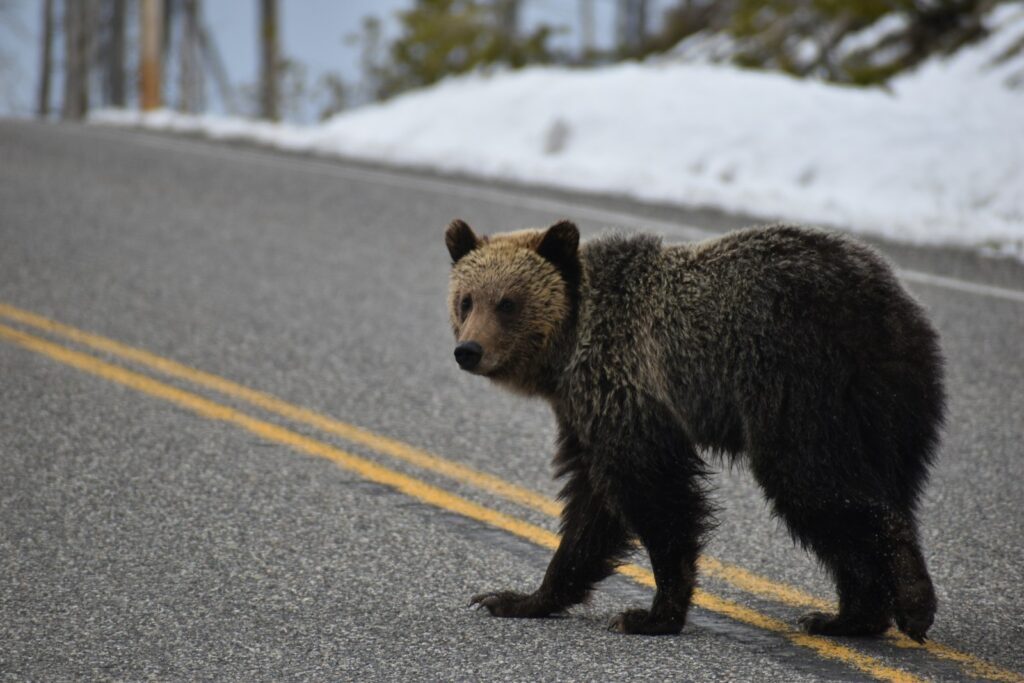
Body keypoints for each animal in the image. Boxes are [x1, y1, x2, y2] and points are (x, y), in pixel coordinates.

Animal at [445, 218, 944, 642]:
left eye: (508, 303)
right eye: (466, 300)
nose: (468, 350)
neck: (568, 347)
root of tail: (889, 302)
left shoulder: (625, 383)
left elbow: (655, 495)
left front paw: (649, 614)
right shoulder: (585, 413)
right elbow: (592, 508)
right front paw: (515, 598)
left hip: (801, 382)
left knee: (813, 481)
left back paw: (912, 603)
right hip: (889, 411)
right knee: (869, 490)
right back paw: (846, 617)